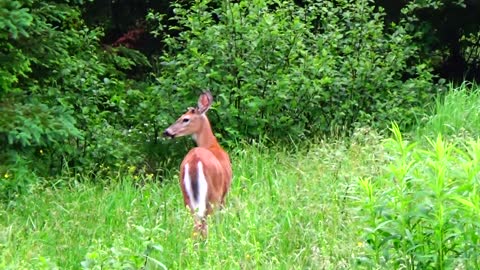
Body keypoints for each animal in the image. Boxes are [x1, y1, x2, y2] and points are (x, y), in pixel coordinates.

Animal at [163, 91, 232, 236]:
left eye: (185, 119)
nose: (166, 132)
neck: (211, 145)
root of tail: (195, 161)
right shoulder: (224, 192)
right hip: (213, 195)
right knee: (204, 225)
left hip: (185, 195)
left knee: (195, 225)